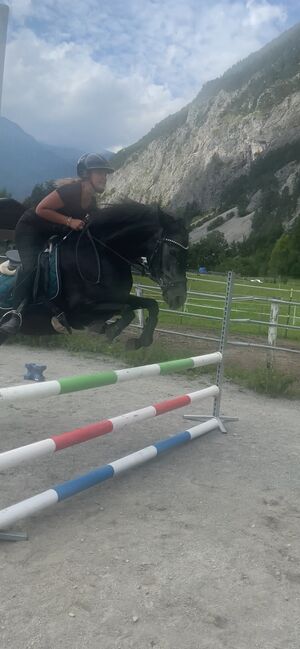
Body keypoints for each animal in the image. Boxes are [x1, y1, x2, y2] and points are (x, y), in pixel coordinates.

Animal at [0, 199, 188, 346]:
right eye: (173, 251)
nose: (179, 298)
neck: (102, 253)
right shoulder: (80, 310)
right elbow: (127, 310)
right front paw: (109, 330)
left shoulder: (117, 296)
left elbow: (150, 304)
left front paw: (139, 342)